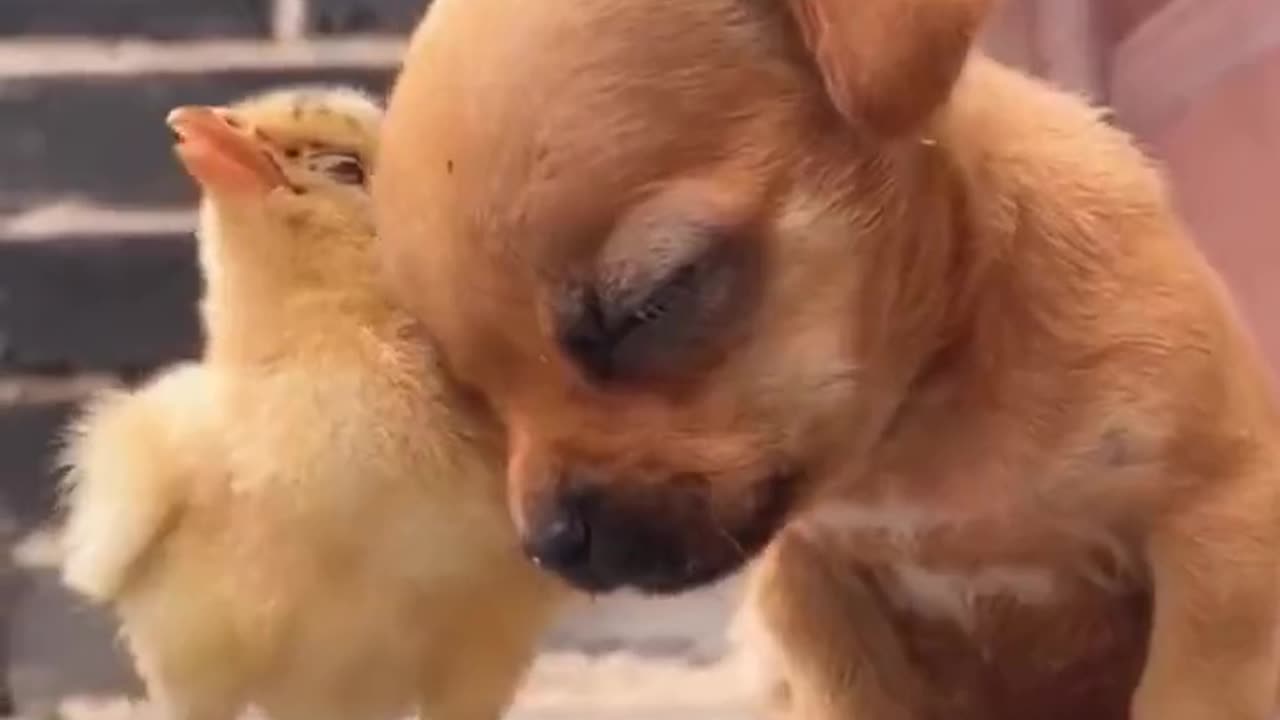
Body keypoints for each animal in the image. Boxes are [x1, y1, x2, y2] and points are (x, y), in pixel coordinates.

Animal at [373, 1, 1280, 717]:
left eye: (655, 302)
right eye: (470, 386)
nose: (550, 544)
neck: (918, 433)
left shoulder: (1218, 545)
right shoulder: (820, 600)